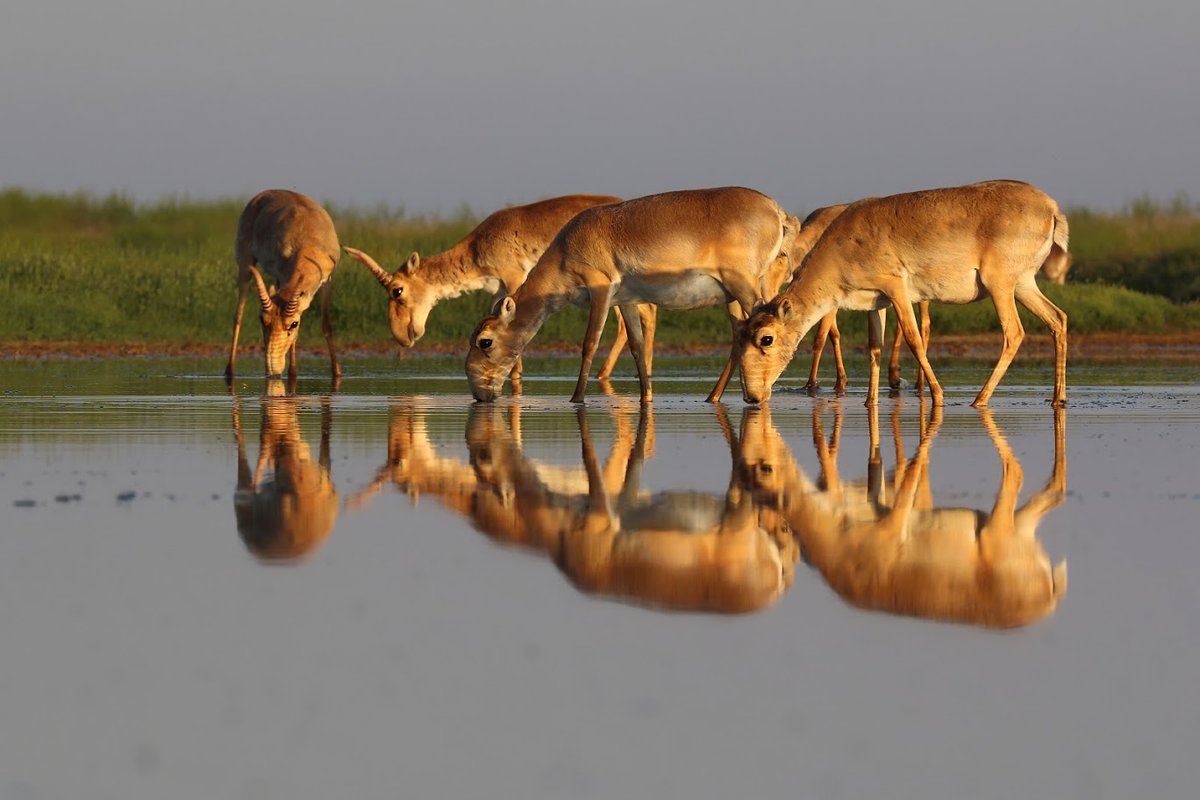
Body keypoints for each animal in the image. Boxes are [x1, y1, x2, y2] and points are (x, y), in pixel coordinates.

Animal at [225, 191, 343, 383]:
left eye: (294, 324)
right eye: (262, 319)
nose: (273, 370)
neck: (309, 243)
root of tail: (262, 194)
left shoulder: (327, 281)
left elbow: (326, 324)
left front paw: (337, 372)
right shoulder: (281, 277)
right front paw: (291, 373)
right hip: (245, 265)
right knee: (238, 315)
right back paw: (230, 370)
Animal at [465, 184, 796, 402]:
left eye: (485, 341)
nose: (477, 390)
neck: (565, 250)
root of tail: (777, 210)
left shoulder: (600, 288)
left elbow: (589, 343)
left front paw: (576, 398)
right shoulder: (625, 302)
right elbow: (637, 346)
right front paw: (645, 397)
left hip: (745, 285)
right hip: (731, 295)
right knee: (738, 336)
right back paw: (712, 397)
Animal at [739, 181, 1070, 407]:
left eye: (766, 338)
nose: (751, 397)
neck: (840, 249)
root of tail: (1052, 208)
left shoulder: (896, 288)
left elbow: (914, 339)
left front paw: (937, 394)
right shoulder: (876, 302)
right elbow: (874, 346)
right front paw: (870, 400)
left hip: (1000, 284)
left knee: (1014, 333)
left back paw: (979, 399)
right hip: (1024, 283)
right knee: (1058, 318)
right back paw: (1058, 398)